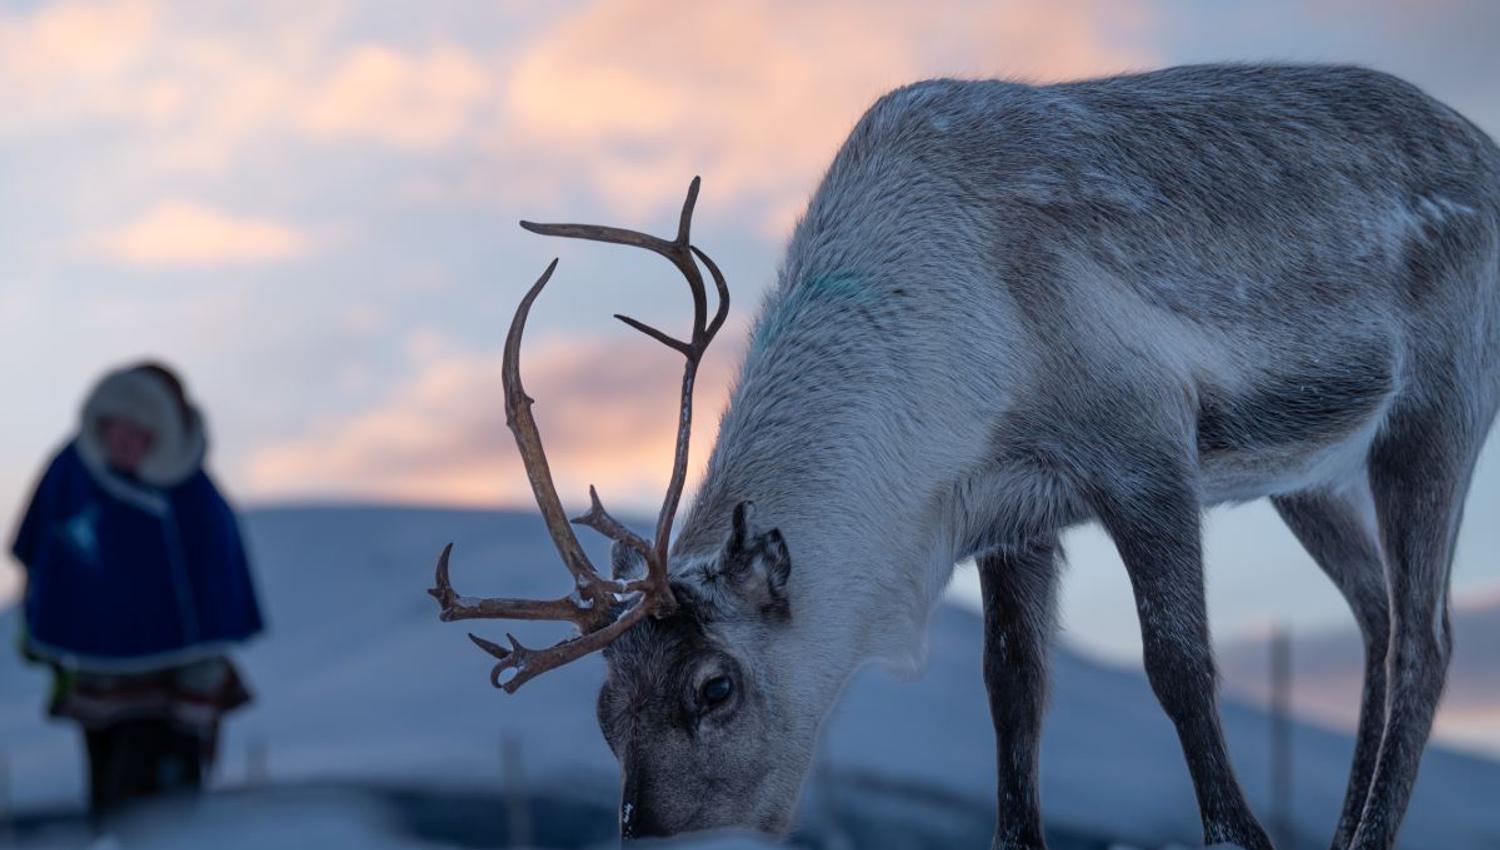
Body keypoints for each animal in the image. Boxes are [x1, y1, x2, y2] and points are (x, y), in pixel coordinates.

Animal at [428, 64, 1500, 850]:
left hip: (1438, 407)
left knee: (1427, 638)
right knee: (1376, 614)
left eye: (715, 687)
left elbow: (1178, 664)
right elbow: (1013, 696)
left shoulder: (1146, 447)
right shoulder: (1012, 517)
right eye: (603, 710)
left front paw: (1240, 833)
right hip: (1305, 476)